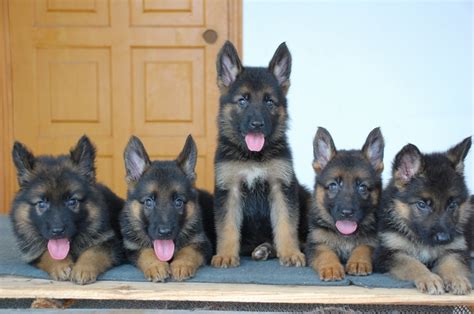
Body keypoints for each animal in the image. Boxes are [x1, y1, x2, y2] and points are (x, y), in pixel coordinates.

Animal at [9, 135, 124, 284]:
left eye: (72, 201)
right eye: (42, 204)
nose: (57, 231)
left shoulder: (111, 242)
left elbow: (94, 251)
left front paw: (83, 268)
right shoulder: (32, 252)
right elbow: (47, 252)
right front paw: (60, 266)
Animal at [120, 134, 211, 280]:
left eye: (179, 202)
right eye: (148, 202)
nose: (165, 232)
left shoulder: (202, 243)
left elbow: (188, 251)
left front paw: (181, 265)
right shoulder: (132, 248)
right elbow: (146, 252)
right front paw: (156, 266)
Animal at [212, 40, 310, 268]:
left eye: (269, 102)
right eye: (242, 101)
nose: (257, 124)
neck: (253, 156)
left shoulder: (281, 188)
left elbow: (286, 225)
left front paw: (290, 253)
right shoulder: (229, 191)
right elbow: (227, 227)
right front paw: (226, 255)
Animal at [308, 127, 386, 280]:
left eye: (362, 187)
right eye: (333, 186)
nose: (347, 213)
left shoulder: (373, 243)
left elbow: (364, 247)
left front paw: (358, 261)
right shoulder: (315, 244)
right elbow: (325, 252)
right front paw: (331, 267)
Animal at [376, 137, 472, 294]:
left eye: (452, 205)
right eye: (422, 204)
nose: (444, 239)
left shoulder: (455, 249)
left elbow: (452, 263)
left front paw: (457, 278)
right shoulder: (388, 253)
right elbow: (412, 263)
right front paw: (429, 278)